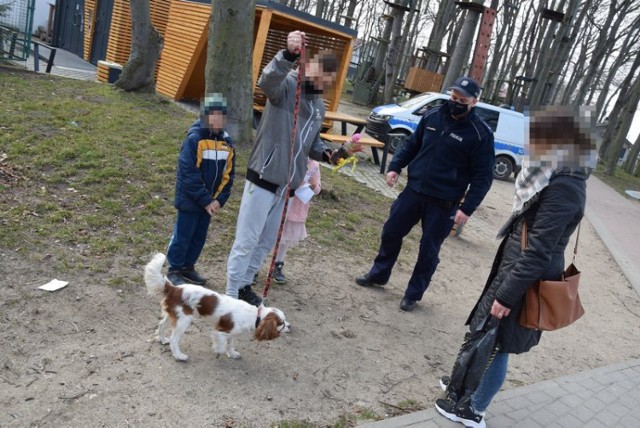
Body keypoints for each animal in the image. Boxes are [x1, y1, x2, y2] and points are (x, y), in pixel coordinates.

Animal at [144, 254, 288, 362]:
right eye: (281, 323)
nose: (289, 326)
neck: (255, 315)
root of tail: (174, 289)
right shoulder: (221, 332)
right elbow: (221, 346)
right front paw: (218, 350)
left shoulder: (232, 333)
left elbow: (230, 345)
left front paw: (233, 354)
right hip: (183, 321)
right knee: (174, 340)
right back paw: (179, 356)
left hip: (173, 315)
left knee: (161, 325)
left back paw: (162, 339)